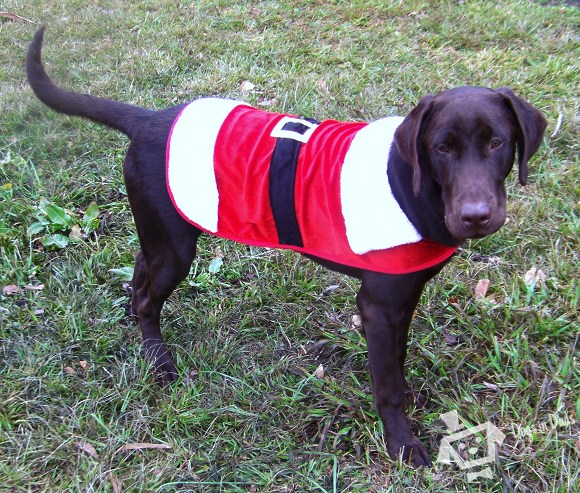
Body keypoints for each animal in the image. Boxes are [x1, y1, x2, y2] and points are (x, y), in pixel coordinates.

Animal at [26, 26, 544, 466]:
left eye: (497, 142)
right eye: (442, 148)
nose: (476, 215)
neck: (414, 185)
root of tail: (151, 120)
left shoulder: (405, 295)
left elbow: (397, 358)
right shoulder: (378, 306)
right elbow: (387, 385)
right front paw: (402, 443)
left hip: (161, 236)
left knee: (138, 279)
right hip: (175, 250)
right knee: (148, 299)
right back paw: (159, 361)